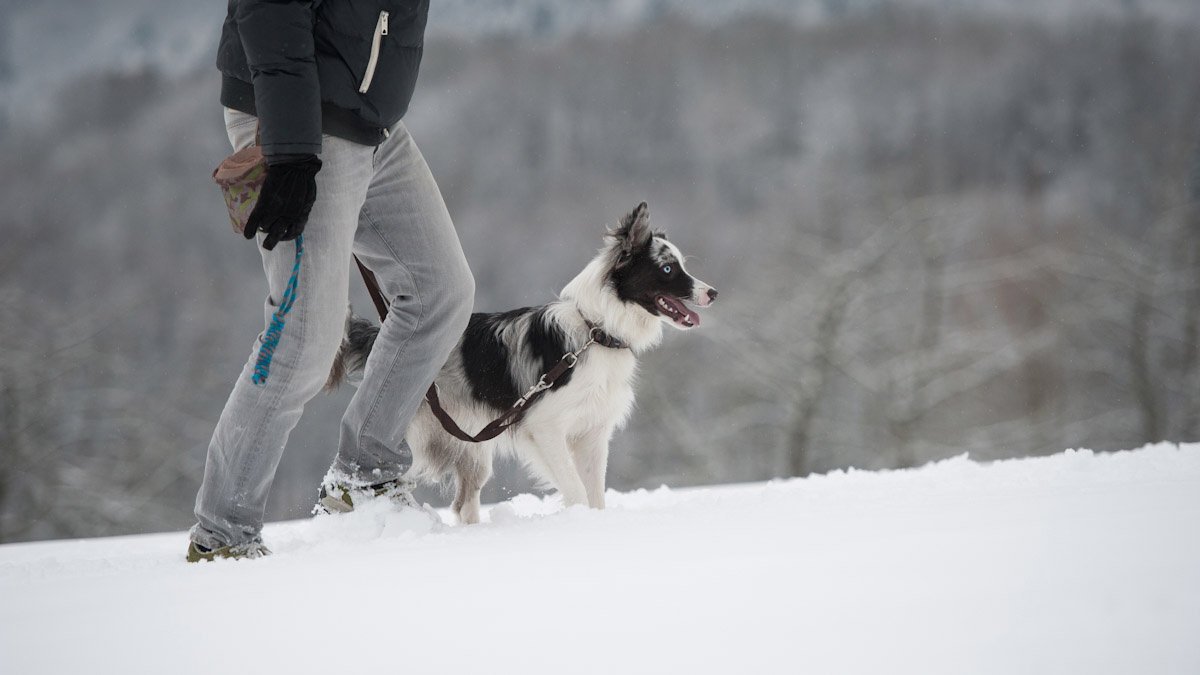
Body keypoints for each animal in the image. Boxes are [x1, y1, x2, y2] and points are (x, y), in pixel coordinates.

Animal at [326, 199, 710, 521]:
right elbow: (575, 490)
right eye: (667, 269)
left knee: (464, 504)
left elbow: (594, 493)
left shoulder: (593, 433)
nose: (714, 293)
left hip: (472, 447)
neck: (595, 330)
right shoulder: (545, 427)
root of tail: (382, 334)